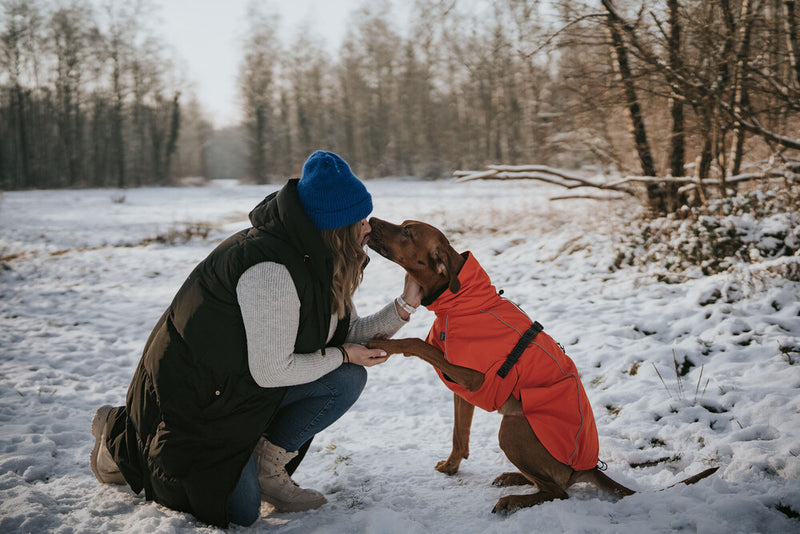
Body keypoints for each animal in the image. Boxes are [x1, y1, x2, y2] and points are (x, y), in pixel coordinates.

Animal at [366, 217, 716, 516]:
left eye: (407, 231)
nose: (370, 220)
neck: (461, 300)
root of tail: (587, 466)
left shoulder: (472, 377)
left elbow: (417, 343)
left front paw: (386, 344)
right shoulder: (461, 389)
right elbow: (458, 435)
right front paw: (452, 467)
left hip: (513, 429)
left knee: (558, 491)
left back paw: (512, 498)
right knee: (550, 482)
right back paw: (514, 477)